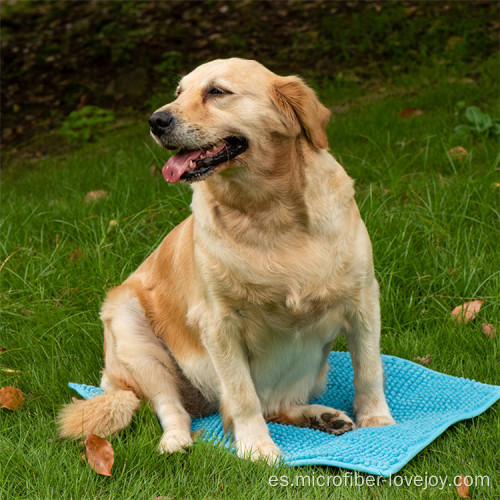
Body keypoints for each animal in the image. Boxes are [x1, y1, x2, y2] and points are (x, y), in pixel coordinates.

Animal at [58, 58, 394, 464]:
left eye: (217, 91)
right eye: (179, 92)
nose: (156, 121)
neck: (270, 214)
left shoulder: (363, 299)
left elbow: (369, 369)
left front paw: (378, 421)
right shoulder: (219, 324)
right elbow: (242, 395)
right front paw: (256, 447)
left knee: (276, 405)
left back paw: (321, 416)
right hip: (130, 327)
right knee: (174, 408)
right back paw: (176, 440)